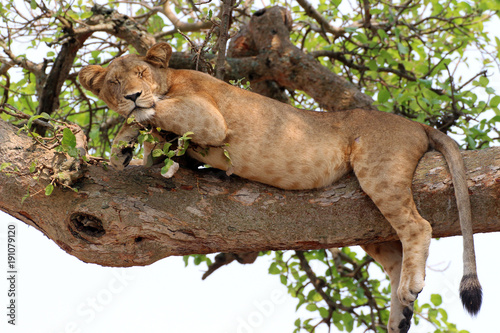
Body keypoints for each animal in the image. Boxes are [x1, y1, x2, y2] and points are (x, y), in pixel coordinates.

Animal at [80, 42, 482, 330]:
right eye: (115, 82)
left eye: (141, 73)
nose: (131, 95)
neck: (171, 79)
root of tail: (415, 124)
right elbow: (150, 143)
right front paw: (124, 148)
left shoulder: (208, 118)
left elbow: (153, 112)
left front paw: (130, 128)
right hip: (369, 222)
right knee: (396, 252)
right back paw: (400, 316)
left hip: (378, 171)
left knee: (418, 226)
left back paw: (409, 287)